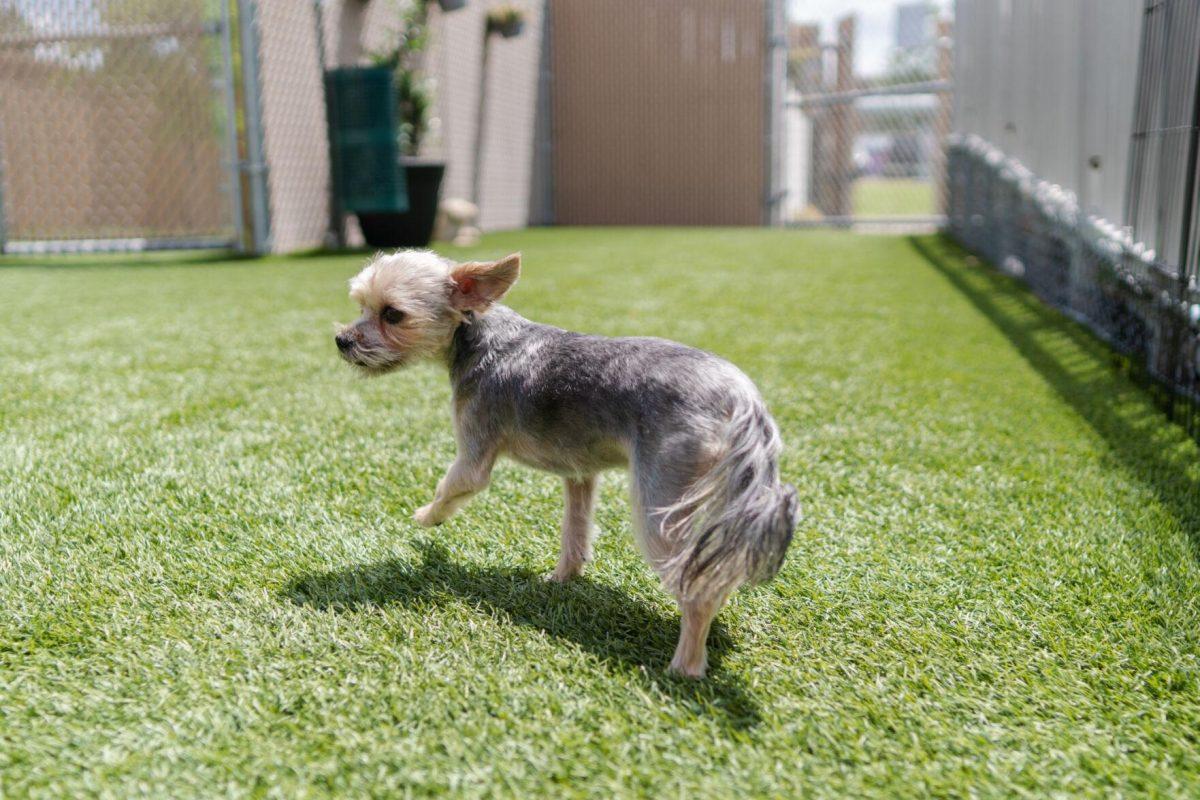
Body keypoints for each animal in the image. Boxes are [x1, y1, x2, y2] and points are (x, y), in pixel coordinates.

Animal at [333, 250, 796, 676]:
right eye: (361, 306)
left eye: (392, 315)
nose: (342, 340)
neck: (480, 336)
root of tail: (743, 399)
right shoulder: (580, 472)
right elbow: (576, 529)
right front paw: (563, 577)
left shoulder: (474, 451)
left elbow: (451, 486)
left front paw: (428, 518)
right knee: (713, 569)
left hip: (658, 497)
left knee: (697, 587)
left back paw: (686, 665)